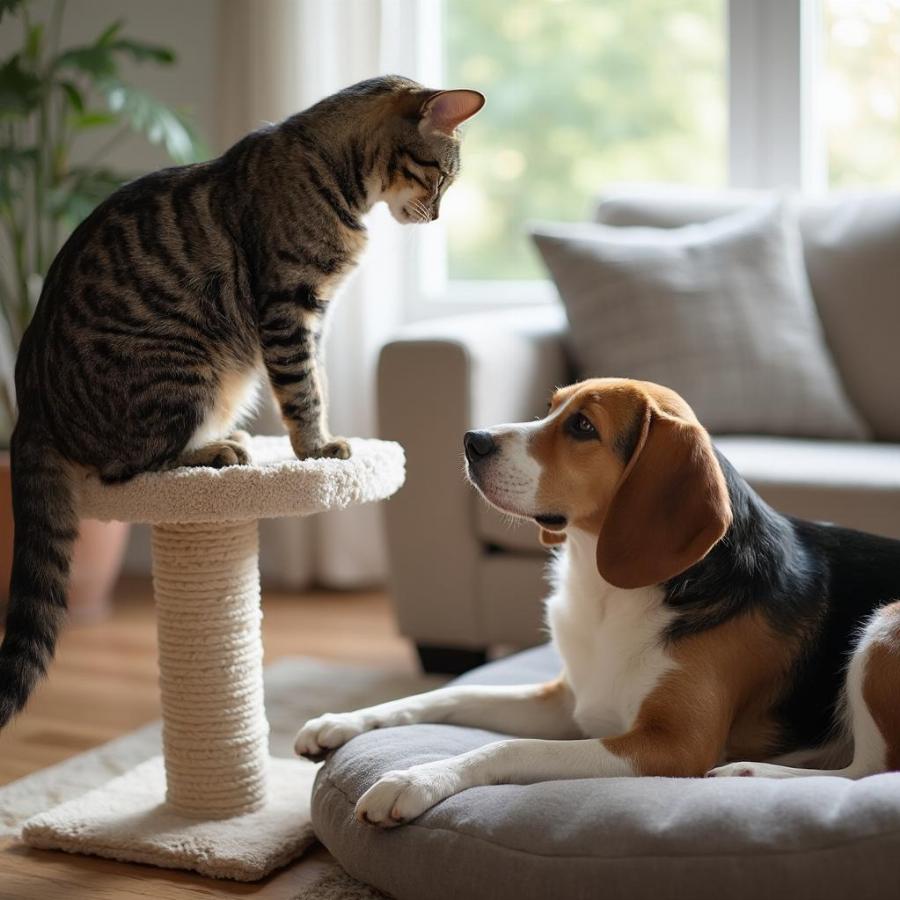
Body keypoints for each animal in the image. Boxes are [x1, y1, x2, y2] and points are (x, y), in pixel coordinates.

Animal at [0, 75, 486, 724]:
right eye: (441, 179)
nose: (434, 216)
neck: (332, 170)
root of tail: (29, 403)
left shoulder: (314, 316)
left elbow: (318, 382)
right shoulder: (289, 306)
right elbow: (303, 391)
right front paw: (317, 449)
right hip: (184, 366)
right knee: (126, 466)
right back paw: (215, 452)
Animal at [296, 376, 900, 828]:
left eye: (583, 426)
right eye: (549, 408)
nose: (472, 439)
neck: (608, 592)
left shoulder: (671, 746)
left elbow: (510, 748)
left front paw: (413, 779)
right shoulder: (570, 702)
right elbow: (446, 693)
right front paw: (342, 721)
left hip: (884, 626)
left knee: (872, 771)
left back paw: (749, 774)